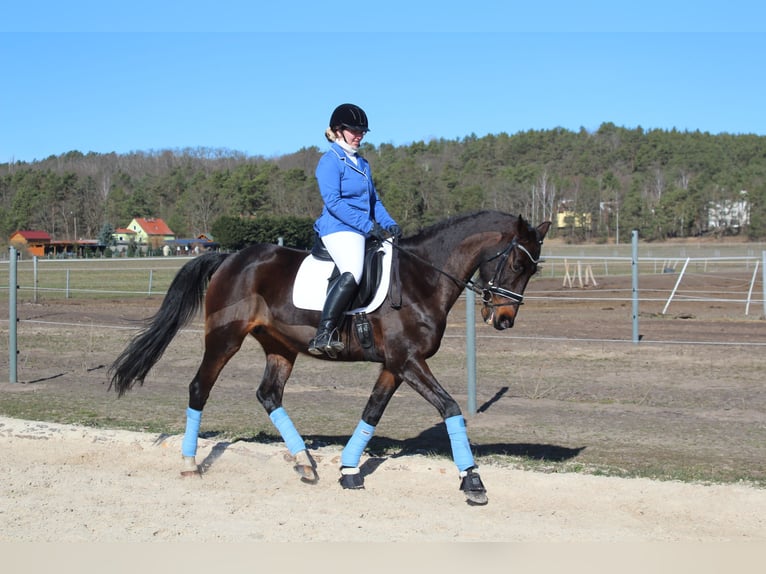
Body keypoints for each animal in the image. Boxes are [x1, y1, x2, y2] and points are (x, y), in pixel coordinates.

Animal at [109, 213, 552, 508]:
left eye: (533, 270)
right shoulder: (407, 361)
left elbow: (372, 412)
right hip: (224, 339)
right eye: (516, 263)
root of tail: (231, 258)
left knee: (268, 395)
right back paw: (189, 463)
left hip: (281, 347)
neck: (422, 278)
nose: (504, 320)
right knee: (200, 387)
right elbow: (450, 408)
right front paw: (472, 482)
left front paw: (349, 470)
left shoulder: (394, 366)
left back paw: (304, 462)